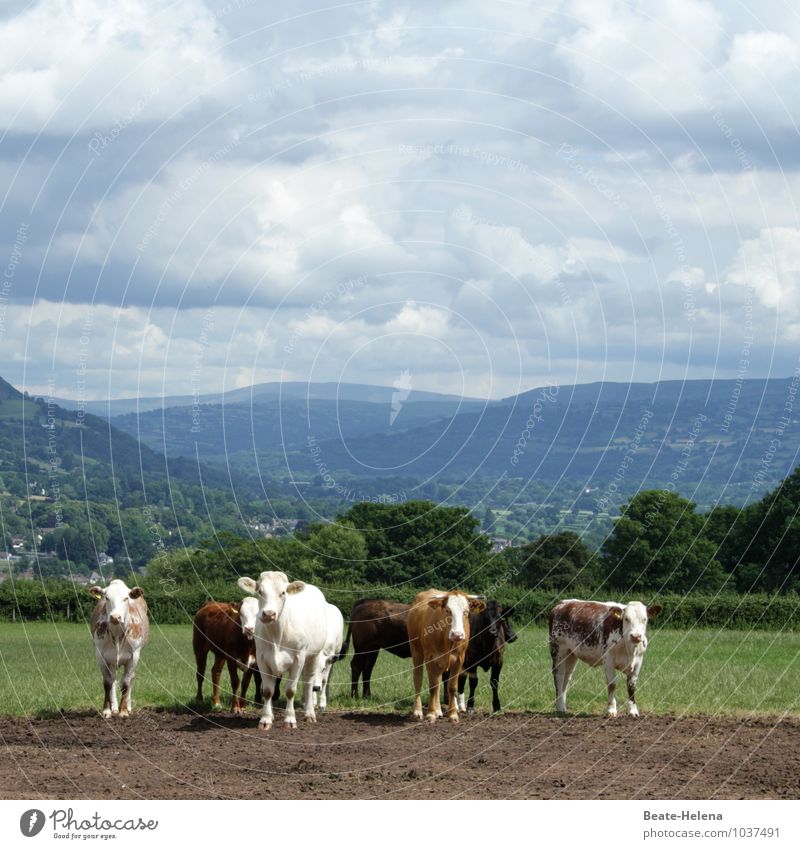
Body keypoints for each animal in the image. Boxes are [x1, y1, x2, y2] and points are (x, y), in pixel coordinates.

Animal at [88, 576, 150, 716]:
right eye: (106, 597)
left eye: (126, 598)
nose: (115, 617)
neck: (116, 635)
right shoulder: (101, 655)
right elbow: (107, 682)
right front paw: (107, 710)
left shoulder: (134, 656)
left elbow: (126, 683)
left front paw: (124, 711)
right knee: (113, 680)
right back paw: (115, 707)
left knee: (130, 679)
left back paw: (128, 706)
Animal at [234, 568, 332, 728]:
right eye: (260, 591)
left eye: (283, 592)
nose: (269, 614)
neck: (277, 635)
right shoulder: (262, 659)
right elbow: (268, 690)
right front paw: (266, 719)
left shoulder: (298, 659)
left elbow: (290, 690)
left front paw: (290, 719)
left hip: (314, 656)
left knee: (308, 683)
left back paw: (309, 714)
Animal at [410, 588, 484, 724]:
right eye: (448, 610)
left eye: (466, 612)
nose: (457, 634)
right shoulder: (430, 658)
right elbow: (432, 686)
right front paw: (430, 714)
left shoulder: (459, 660)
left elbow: (451, 687)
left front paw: (453, 714)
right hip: (416, 651)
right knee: (418, 678)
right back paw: (418, 711)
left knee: (438, 681)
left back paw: (438, 711)